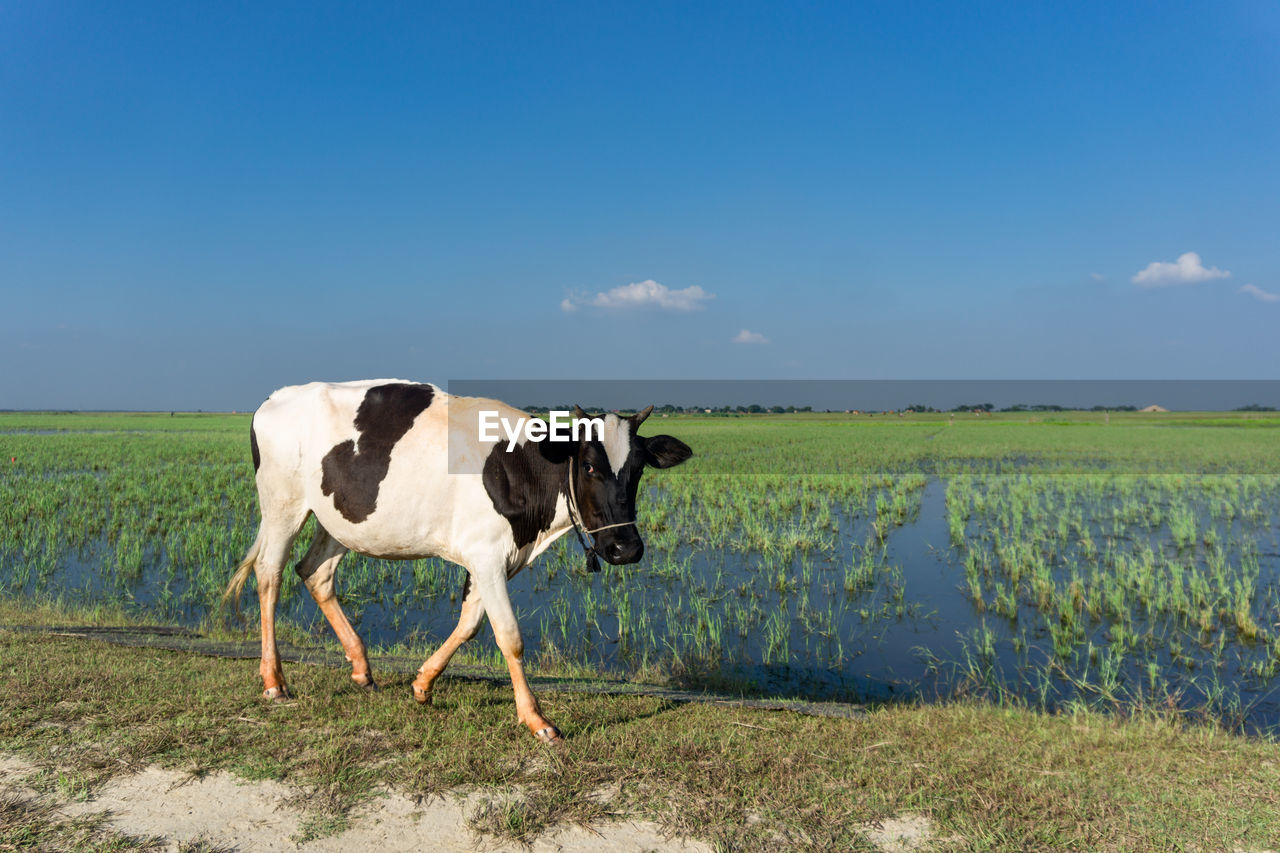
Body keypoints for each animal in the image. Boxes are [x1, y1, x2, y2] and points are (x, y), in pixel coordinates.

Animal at [225, 376, 696, 737]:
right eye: (589, 467)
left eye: (638, 469)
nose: (626, 548)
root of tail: (275, 397)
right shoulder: (486, 555)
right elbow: (509, 636)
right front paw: (536, 719)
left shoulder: (493, 558)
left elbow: (470, 624)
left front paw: (423, 684)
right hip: (282, 505)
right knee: (270, 575)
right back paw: (274, 681)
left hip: (340, 518)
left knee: (315, 573)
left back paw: (360, 666)